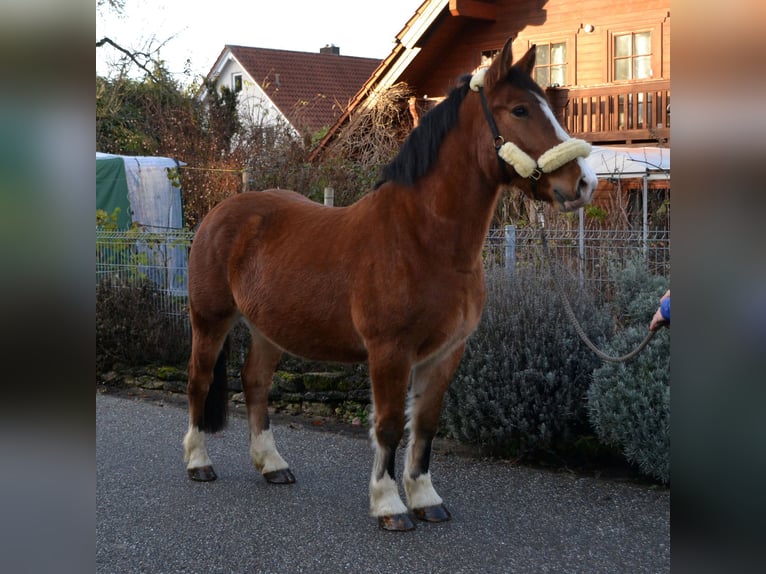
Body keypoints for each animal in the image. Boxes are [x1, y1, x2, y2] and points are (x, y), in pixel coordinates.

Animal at [182, 37, 597, 531]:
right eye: (519, 110)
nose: (582, 184)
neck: (423, 239)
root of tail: (221, 211)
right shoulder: (389, 352)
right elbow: (389, 425)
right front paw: (389, 506)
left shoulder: (445, 353)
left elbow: (425, 425)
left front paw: (425, 499)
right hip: (210, 319)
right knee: (199, 380)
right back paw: (198, 463)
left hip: (268, 329)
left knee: (256, 382)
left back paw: (273, 466)